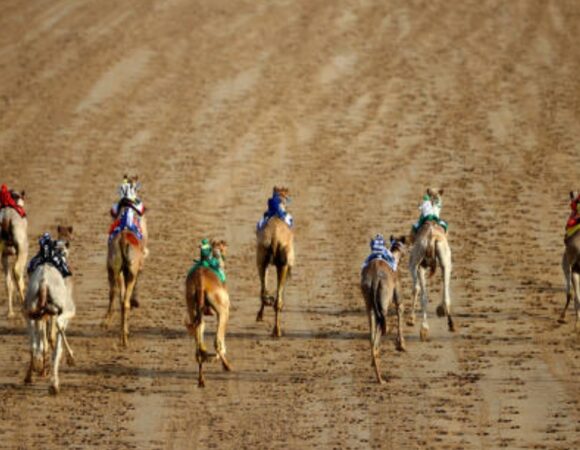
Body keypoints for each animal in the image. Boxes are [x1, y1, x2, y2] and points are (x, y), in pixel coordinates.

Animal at [23, 225, 75, 394]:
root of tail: (44, 282)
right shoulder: (67, 310)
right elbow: (54, 337)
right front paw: (70, 358)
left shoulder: (43, 315)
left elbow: (44, 340)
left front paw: (41, 368)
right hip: (61, 308)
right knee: (56, 334)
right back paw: (54, 384)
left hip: (29, 309)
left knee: (33, 344)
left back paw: (30, 375)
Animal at [186, 239, 231, 386]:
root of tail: (200, 282)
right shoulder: (224, 312)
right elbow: (221, 341)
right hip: (222, 310)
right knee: (217, 342)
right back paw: (226, 365)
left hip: (191, 306)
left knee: (199, 348)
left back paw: (201, 380)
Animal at [256, 186, 294, 338]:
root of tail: (274, 238)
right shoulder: (287, 265)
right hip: (280, 266)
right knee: (275, 299)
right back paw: (275, 329)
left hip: (261, 260)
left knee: (264, 291)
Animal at [362, 234, 408, 384]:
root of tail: (375, 279)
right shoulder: (397, 297)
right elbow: (400, 311)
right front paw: (401, 345)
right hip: (383, 303)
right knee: (381, 329)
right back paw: (380, 379)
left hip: (369, 305)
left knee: (372, 335)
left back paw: (375, 363)